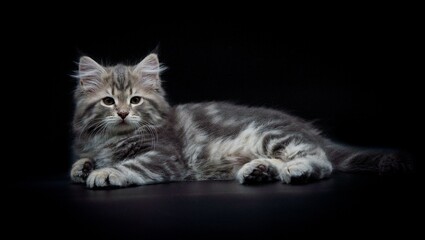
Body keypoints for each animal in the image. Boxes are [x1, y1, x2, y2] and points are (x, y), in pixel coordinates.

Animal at [71, 53, 410, 188]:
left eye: (136, 100)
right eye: (108, 101)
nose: (123, 113)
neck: (113, 139)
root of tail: (307, 128)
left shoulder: (165, 156)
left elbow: (132, 165)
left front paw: (105, 173)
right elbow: (84, 159)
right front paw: (83, 166)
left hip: (272, 135)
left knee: (321, 162)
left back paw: (296, 170)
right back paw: (259, 171)